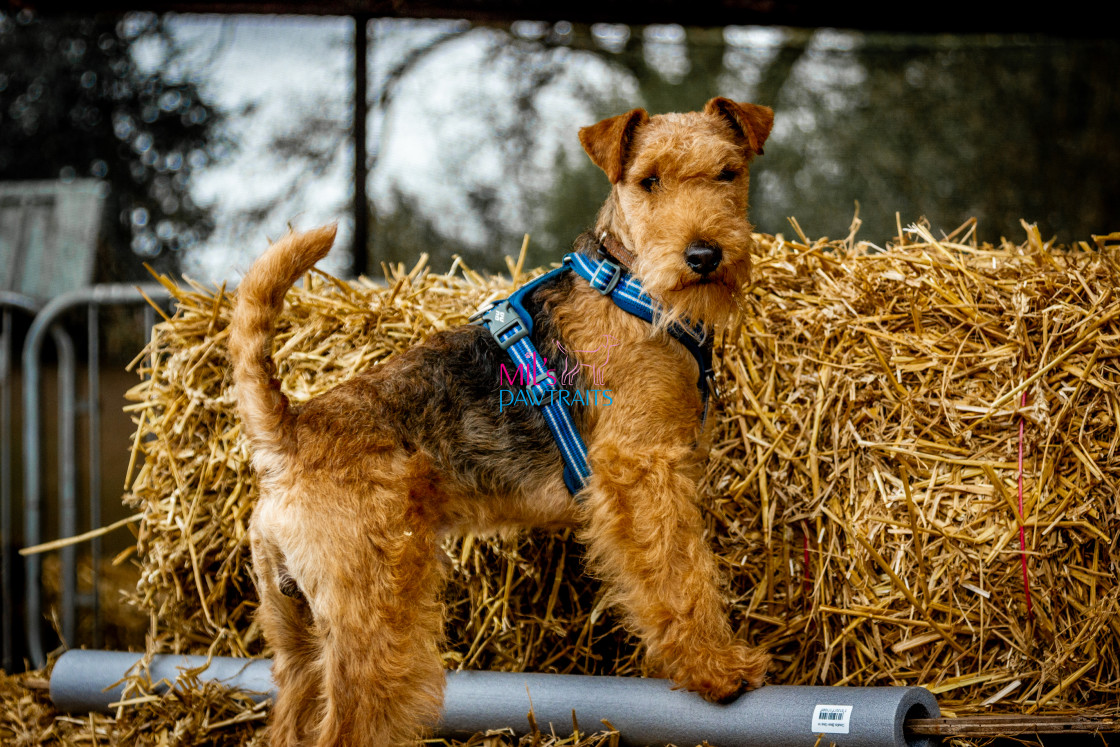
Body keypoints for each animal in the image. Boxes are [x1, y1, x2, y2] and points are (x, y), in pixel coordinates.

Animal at [231, 96, 775, 743]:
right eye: (649, 180)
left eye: (728, 173)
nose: (704, 256)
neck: (631, 287)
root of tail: (286, 433)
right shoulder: (643, 470)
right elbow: (679, 573)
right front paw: (720, 670)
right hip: (372, 621)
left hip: (295, 633)